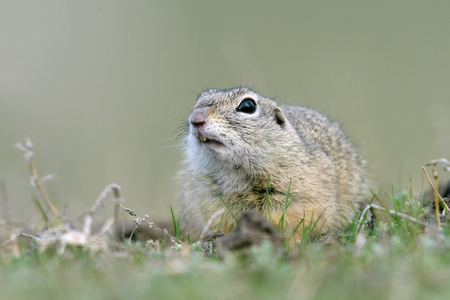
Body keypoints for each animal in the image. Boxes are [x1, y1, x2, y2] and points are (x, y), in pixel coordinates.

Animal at [179, 87, 366, 241]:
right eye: (199, 99)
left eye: (247, 106)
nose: (195, 119)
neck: (238, 176)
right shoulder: (210, 198)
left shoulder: (299, 198)